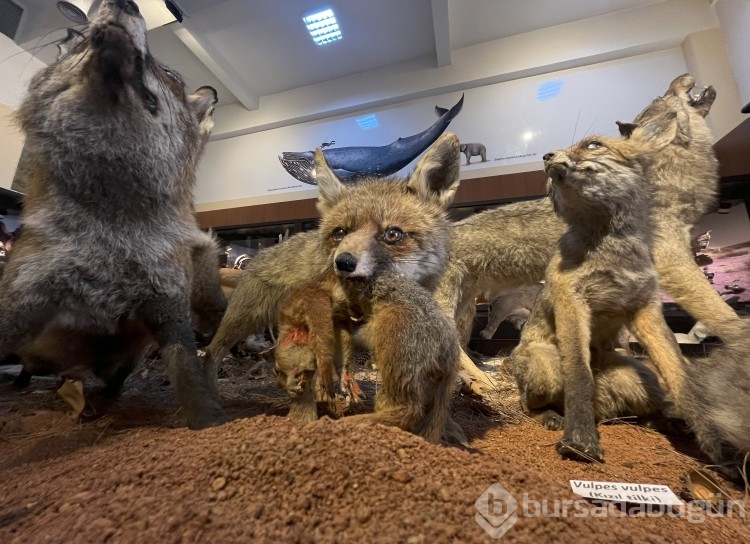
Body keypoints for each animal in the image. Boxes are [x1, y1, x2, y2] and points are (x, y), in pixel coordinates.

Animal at [0, 0, 229, 430]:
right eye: (77, 42)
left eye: (171, 75)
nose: (123, 3)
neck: (114, 243)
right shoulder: (25, 298)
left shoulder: (168, 303)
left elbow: (189, 378)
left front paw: (209, 421)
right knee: (27, 368)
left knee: (114, 379)